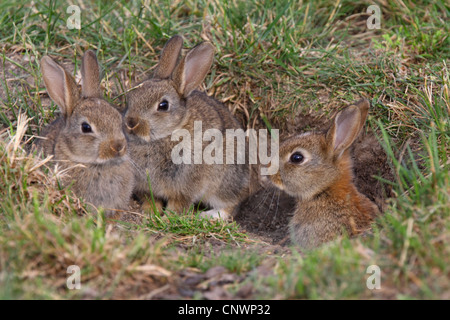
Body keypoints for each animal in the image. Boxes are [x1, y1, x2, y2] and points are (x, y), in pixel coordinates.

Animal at [123, 35, 253, 220]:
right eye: (130, 97)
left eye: (163, 105)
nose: (130, 122)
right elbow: (150, 199)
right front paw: (150, 213)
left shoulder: (185, 185)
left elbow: (177, 205)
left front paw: (166, 219)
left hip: (224, 181)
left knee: (231, 205)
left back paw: (208, 216)